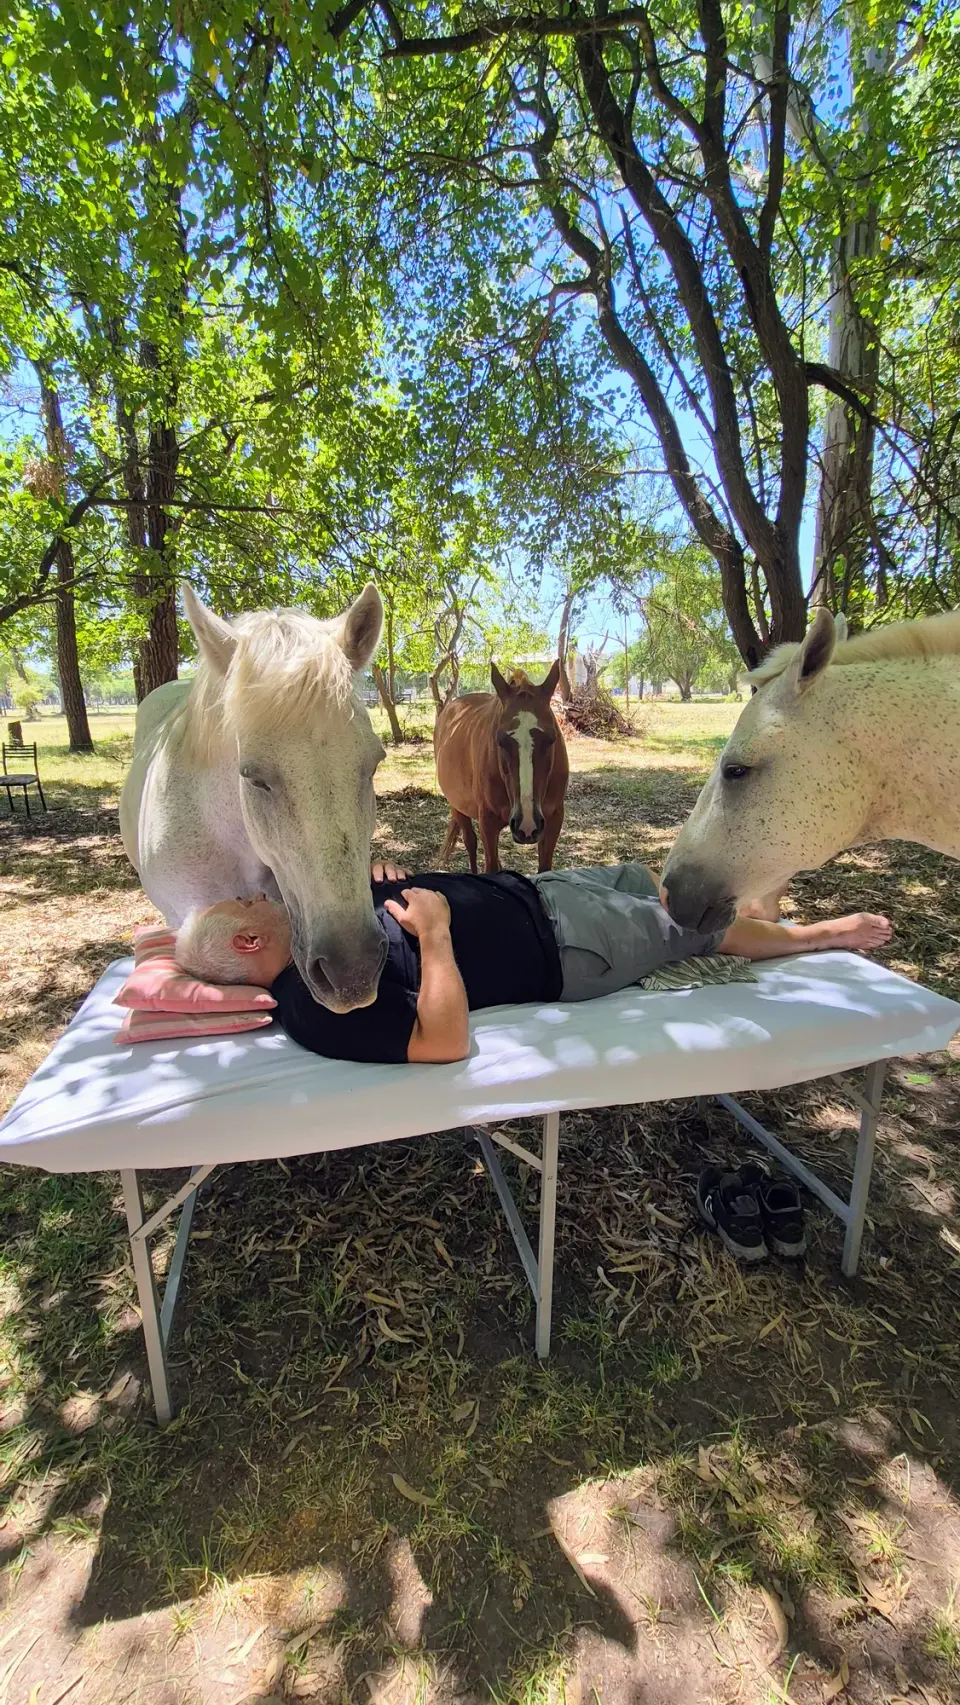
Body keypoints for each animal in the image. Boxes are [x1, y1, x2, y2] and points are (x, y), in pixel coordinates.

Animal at [434, 661, 568, 874]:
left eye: (551, 739)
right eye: (500, 741)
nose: (527, 824)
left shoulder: (553, 820)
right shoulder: (488, 824)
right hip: (458, 805)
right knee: (470, 842)